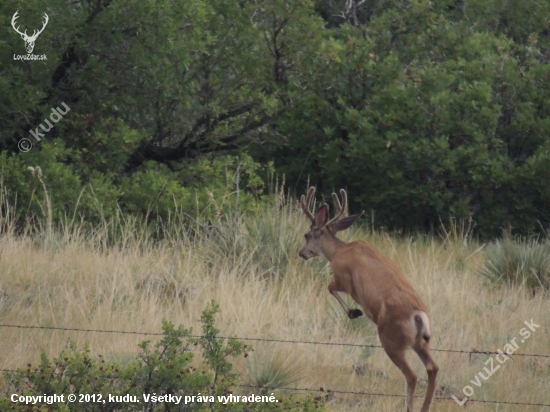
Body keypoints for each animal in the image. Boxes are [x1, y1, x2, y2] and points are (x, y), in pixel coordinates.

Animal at [300, 187, 442, 412]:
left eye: (306, 235)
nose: (302, 253)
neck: (338, 251)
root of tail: (419, 316)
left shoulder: (344, 278)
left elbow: (330, 287)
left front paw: (354, 312)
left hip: (389, 338)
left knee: (412, 375)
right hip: (420, 342)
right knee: (433, 367)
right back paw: (424, 407)